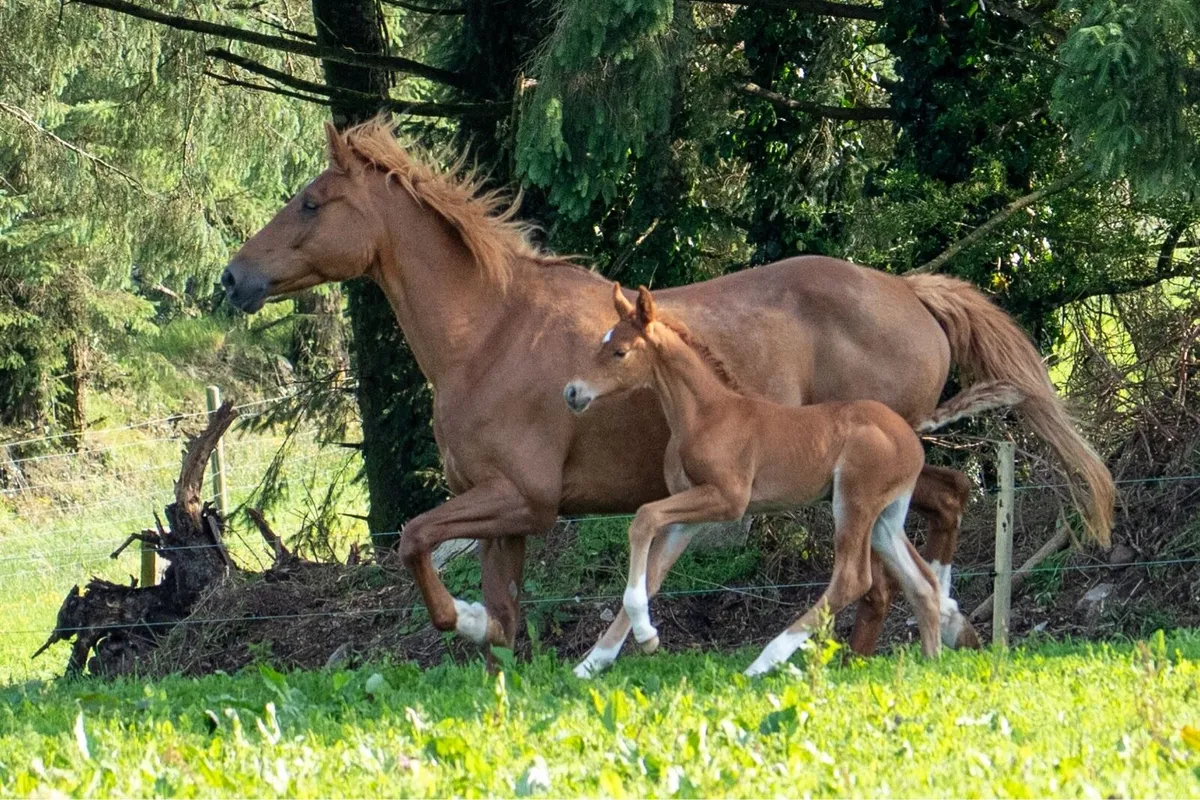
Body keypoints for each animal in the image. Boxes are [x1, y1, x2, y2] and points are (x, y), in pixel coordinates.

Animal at [220, 119, 1114, 671]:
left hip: (864, 465)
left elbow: (414, 544)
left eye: (310, 202)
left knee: (906, 542)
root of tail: (910, 291)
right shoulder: (499, 508)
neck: (491, 330)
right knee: (932, 519)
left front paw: (469, 621)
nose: (232, 278)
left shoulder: (525, 500)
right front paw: (533, 656)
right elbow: (500, 613)